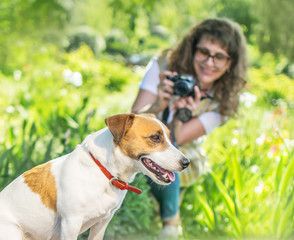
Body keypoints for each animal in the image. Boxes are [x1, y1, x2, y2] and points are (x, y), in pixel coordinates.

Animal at [0, 113, 189, 240]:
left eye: (169, 137)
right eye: (155, 138)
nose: (186, 162)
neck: (104, 171)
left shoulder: (103, 222)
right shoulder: (70, 224)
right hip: (14, 232)